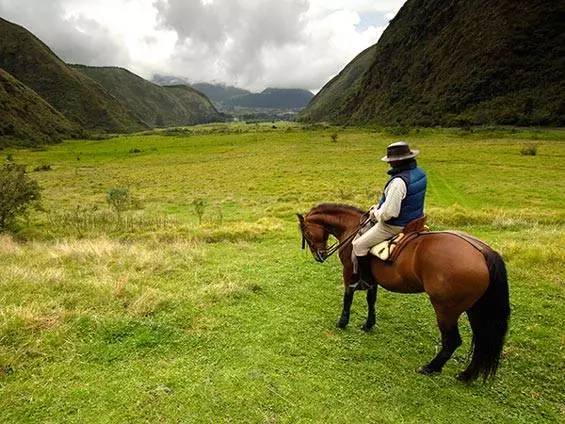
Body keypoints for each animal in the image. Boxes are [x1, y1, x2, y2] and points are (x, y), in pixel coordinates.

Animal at [298, 204, 508, 382]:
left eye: (307, 232)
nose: (319, 256)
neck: (353, 230)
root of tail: (482, 251)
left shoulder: (349, 272)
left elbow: (348, 298)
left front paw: (342, 322)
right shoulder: (372, 281)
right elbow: (371, 300)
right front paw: (368, 324)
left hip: (446, 310)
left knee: (452, 341)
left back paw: (431, 367)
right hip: (475, 310)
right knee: (481, 341)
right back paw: (466, 375)